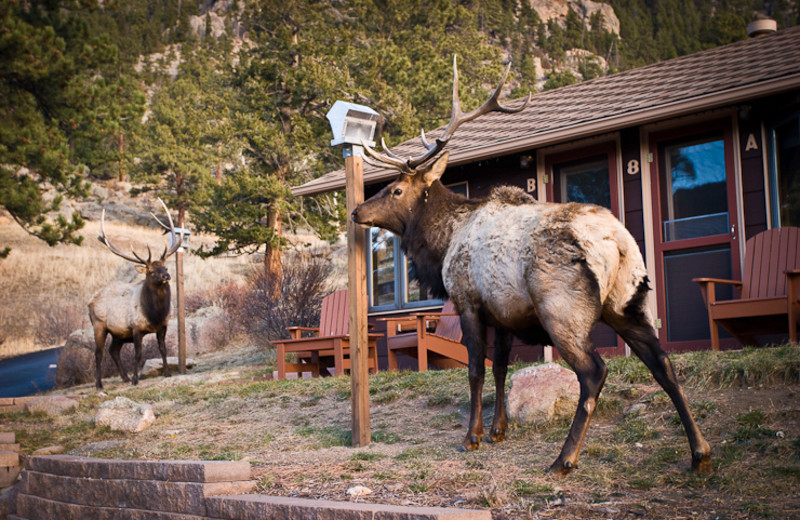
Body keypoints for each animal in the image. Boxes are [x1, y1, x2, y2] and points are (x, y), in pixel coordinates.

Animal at [89, 201, 183, 388]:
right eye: (151, 271)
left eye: (165, 267)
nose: (166, 276)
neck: (154, 314)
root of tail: (90, 301)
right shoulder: (136, 328)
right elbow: (138, 355)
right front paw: (135, 380)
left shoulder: (163, 326)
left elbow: (163, 349)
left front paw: (167, 373)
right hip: (99, 325)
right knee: (98, 352)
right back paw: (99, 384)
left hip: (119, 333)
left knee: (113, 350)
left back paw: (124, 377)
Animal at [354, 58, 712, 476]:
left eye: (395, 190)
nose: (357, 210)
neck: (442, 242)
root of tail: (616, 243)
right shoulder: (503, 313)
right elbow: (500, 368)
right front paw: (498, 430)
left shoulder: (469, 302)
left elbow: (475, 370)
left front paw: (471, 437)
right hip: (628, 303)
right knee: (663, 364)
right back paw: (700, 452)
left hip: (562, 309)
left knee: (594, 371)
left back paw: (564, 458)